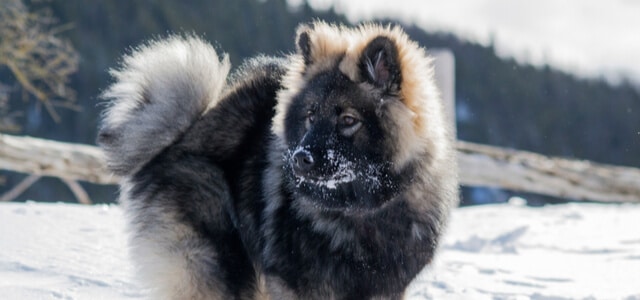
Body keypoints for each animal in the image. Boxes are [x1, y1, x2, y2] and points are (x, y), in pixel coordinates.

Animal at [100, 22, 458, 298]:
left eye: (348, 120)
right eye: (311, 116)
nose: (300, 159)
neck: (357, 212)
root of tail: (181, 135)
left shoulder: (384, 288)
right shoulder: (293, 283)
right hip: (215, 260)